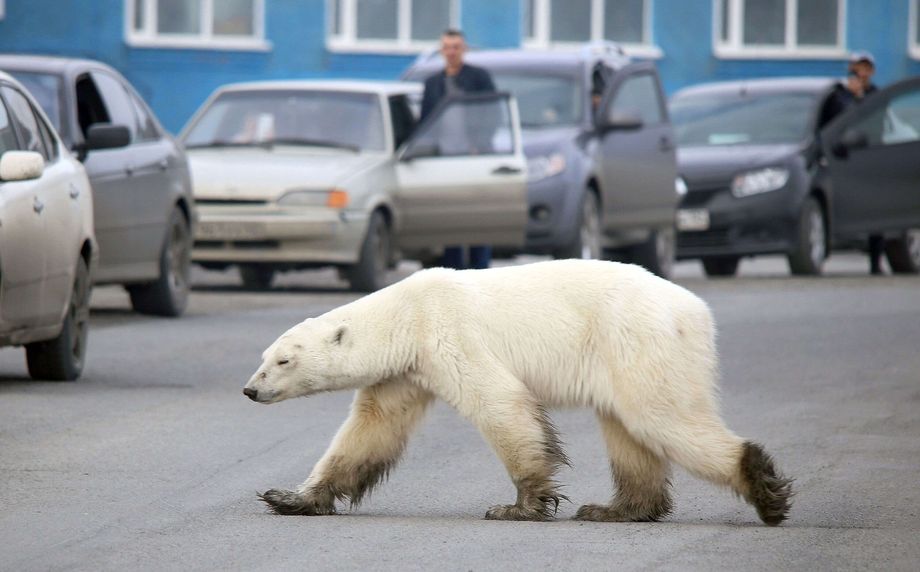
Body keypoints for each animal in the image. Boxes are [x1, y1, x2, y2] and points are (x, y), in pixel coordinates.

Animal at [244, 262, 792, 524]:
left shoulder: (449, 334)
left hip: (637, 340)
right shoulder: (405, 372)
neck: (407, 313)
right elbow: (370, 429)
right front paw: (289, 497)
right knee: (628, 431)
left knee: (660, 417)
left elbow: (500, 404)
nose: (250, 390)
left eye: (284, 360)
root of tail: (696, 310)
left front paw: (519, 506)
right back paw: (615, 509)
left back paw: (763, 487)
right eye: (264, 355)